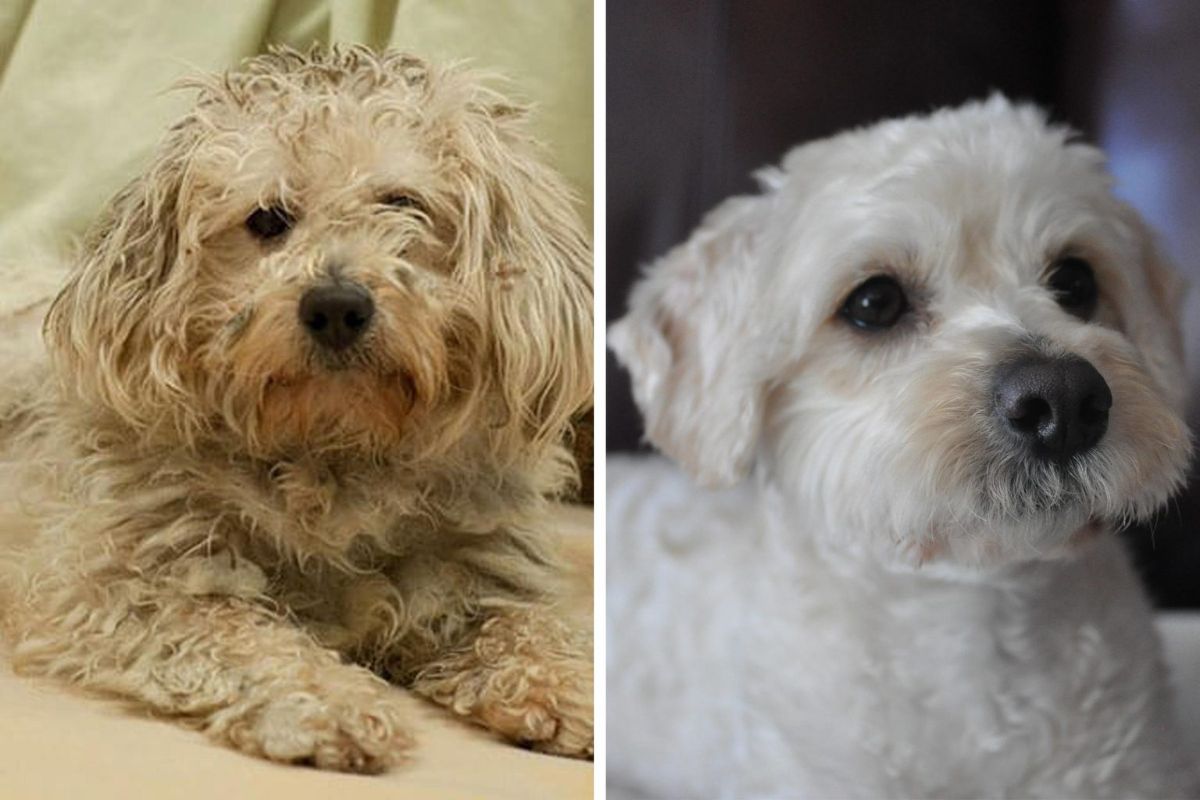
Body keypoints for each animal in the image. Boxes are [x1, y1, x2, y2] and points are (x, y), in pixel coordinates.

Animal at [0, 47, 595, 772]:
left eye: (401, 203)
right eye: (267, 219)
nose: (336, 305)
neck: (331, 451)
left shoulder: (479, 575)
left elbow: (523, 625)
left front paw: (571, 685)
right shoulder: (126, 588)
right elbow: (245, 635)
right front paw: (328, 704)